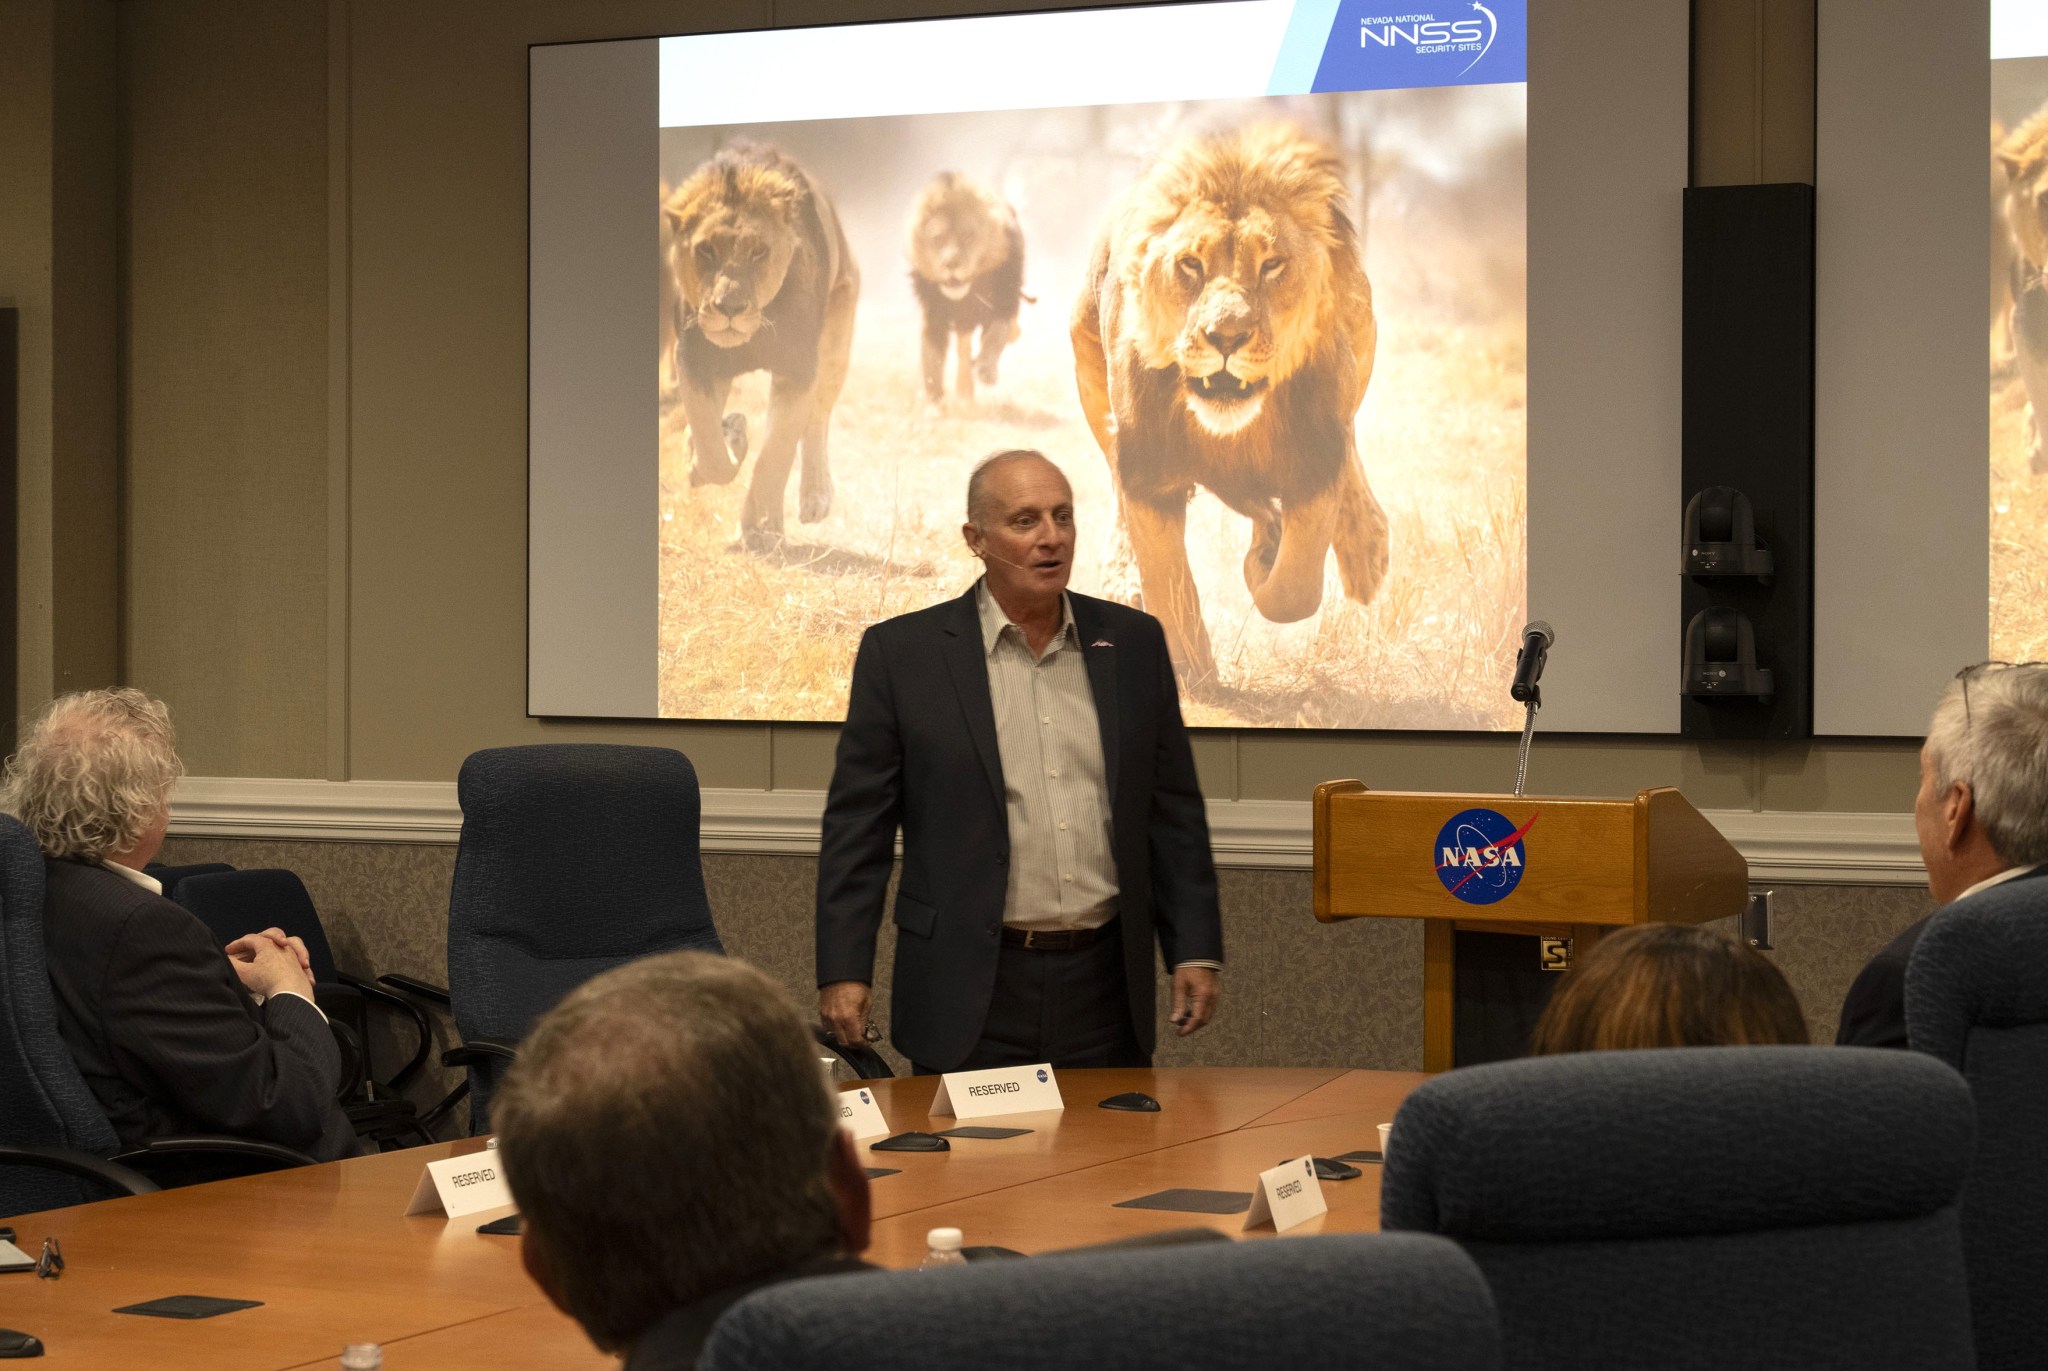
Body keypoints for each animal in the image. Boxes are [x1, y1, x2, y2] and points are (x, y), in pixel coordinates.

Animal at [663, 140, 856, 545]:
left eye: (758, 252)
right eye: (706, 250)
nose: (730, 308)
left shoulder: (798, 369)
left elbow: (775, 454)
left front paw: (761, 529)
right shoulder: (695, 361)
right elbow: (710, 448)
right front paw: (728, 439)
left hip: (836, 339)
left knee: (817, 420)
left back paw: (814, 497)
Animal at [909, 172, 1024, 405]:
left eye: (968, 236)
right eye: (938, 239)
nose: (951, 264)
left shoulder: (1004, 300)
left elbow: (997, 334)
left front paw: (987, 369)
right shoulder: (934, 316)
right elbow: (932, 361)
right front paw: (934, 403)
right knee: (964, 347)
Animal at [1073, 125, 1392, 684]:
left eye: (1272, 265)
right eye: (1190, 264)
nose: (1226, 336)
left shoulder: (1317, 455)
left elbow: (1293, 590)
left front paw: (1266, 567)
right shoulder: (1147, 471)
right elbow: (1169, 582)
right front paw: (1190, 666)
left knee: (1346, 451)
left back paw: (1359, 548)